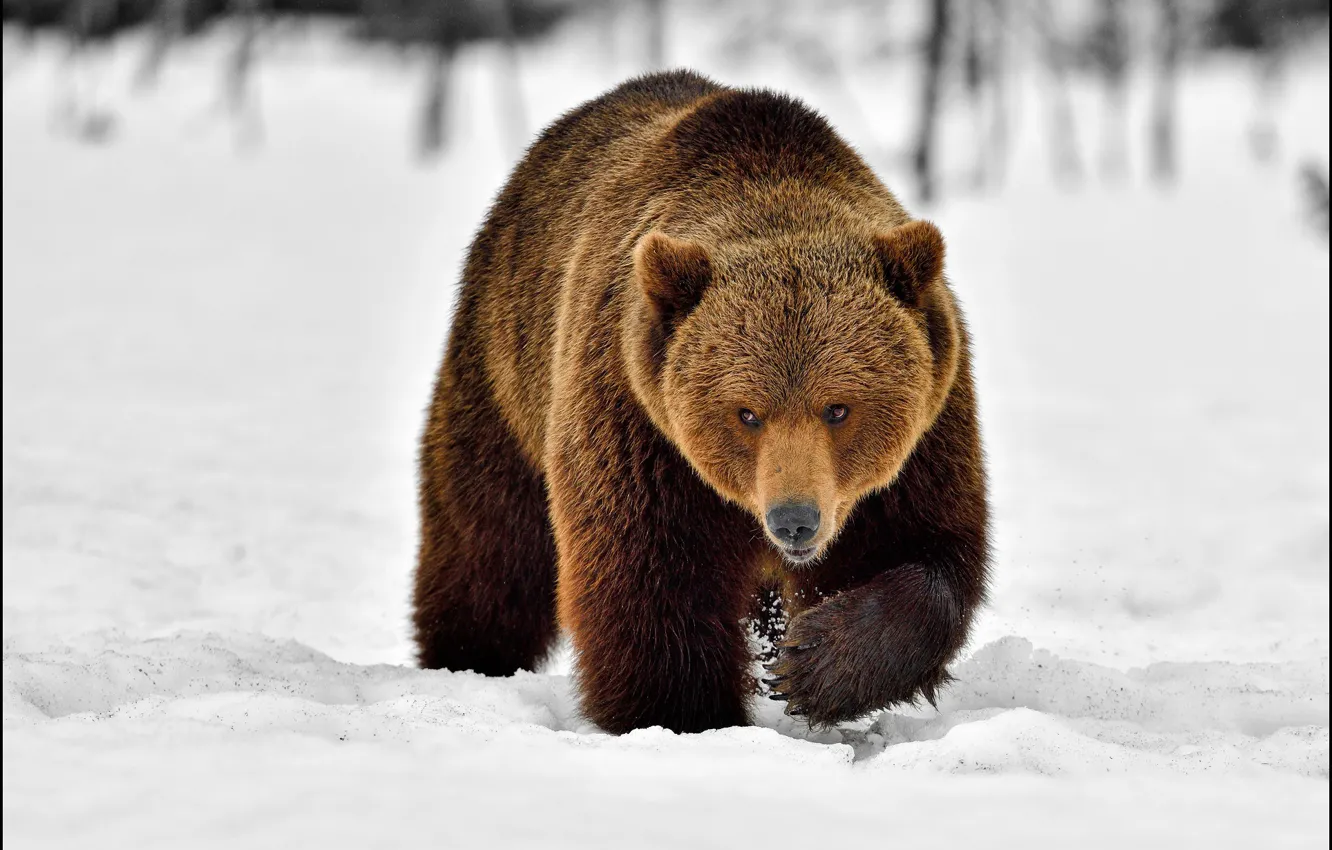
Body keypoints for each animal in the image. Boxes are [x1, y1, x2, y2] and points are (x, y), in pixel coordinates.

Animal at [413, 70, 990, 734]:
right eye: (747, 412)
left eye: (839, 408)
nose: (794, 519)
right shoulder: (638, 422)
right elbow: (650, 584)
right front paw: (690, 715)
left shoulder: (925, 435)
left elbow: (923, 552)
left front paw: (813, 663)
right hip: (503, 372)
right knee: (489, 544)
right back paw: (467, 656)